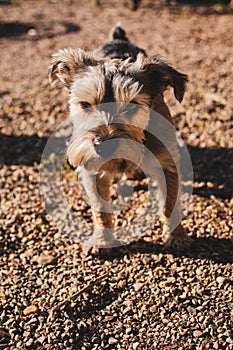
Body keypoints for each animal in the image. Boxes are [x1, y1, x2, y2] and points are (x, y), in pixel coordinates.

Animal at [48, 24, 192, 254]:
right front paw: (101, 240)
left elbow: (170, 202)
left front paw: (176, 236)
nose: (103, 146)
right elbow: (100, 208)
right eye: (85, 104)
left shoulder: (167, 162)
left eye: (132, 106)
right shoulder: (91, 170)